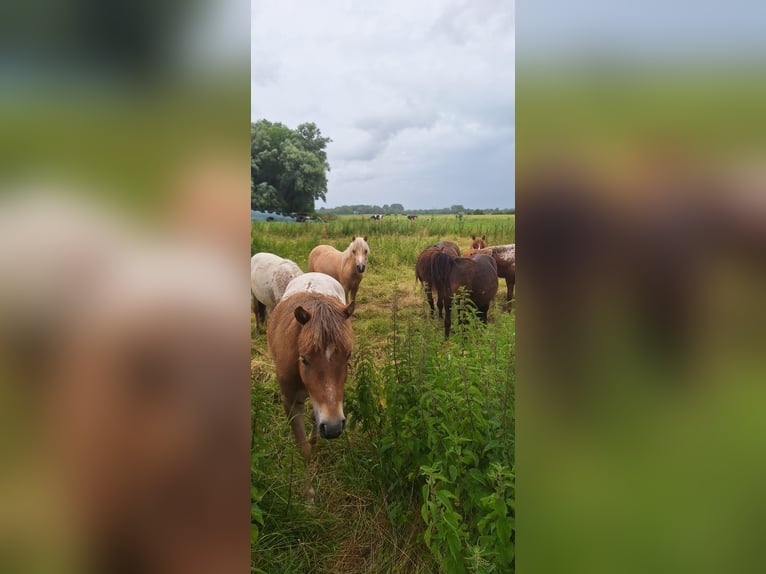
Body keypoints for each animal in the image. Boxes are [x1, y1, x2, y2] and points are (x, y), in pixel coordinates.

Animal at [268, 276, 356, 502]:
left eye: (348, 355)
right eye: (305, 359)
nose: (333, 427)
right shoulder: (290, 402)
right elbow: (304, 450)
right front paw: (308, 496)